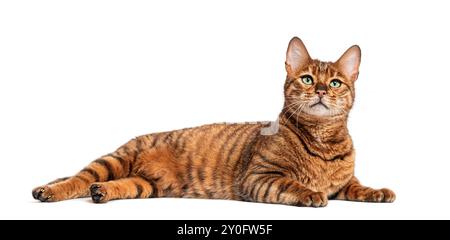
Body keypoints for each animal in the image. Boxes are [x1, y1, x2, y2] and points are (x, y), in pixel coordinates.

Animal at [33, 37, 396, 206]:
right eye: (307, 79)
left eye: (335, 83)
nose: (320, 89)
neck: (322, 140)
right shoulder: (260, 177)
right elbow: (293, 185)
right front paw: (310, 194)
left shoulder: (344, 183)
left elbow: (359, 186)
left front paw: (378, 191)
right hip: (114, 159)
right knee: (77, 178)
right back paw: (48, 191)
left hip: (145, 185)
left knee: (110, 184)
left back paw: (100, 193)